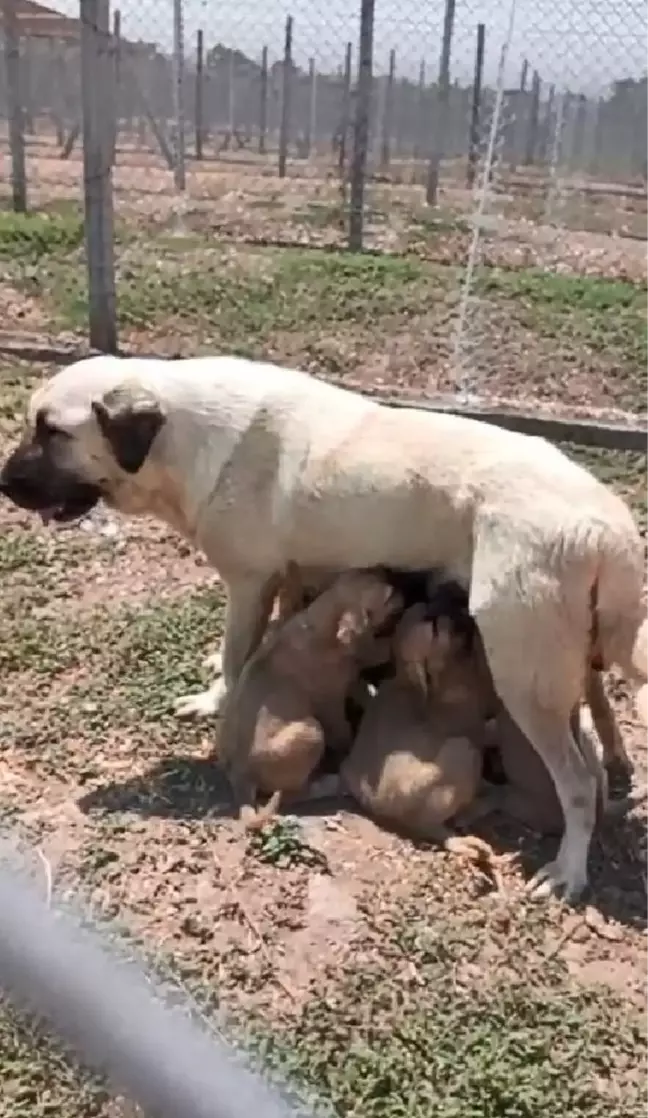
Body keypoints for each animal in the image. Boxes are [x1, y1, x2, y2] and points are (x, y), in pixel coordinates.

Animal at [215, 572, 402, 827]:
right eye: (388, 595)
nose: (402, 586)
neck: (319, 623)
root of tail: (239, 774)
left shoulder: (350, 677)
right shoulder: (332, 704)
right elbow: (344, 732)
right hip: (312, 732)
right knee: (293, 794)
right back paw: (331, 783)